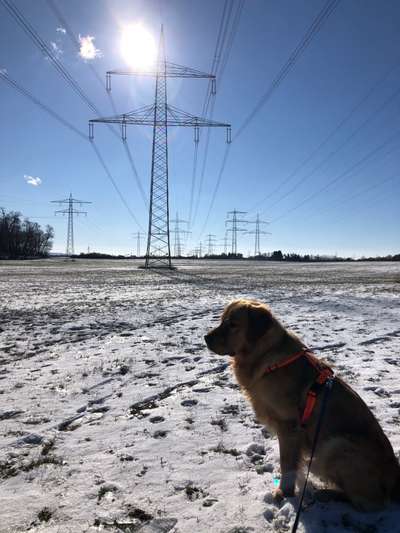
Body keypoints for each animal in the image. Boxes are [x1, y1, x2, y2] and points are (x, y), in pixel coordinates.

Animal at [205, 298, 400, 510]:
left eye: (233, 324)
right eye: (222, 320)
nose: (205, 338)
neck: (266, 355)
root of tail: (395, 477)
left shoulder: (289, 425)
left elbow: (287, 464)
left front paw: (284, 492)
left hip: (333, 446)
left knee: (369, 501)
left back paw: (328, 494)